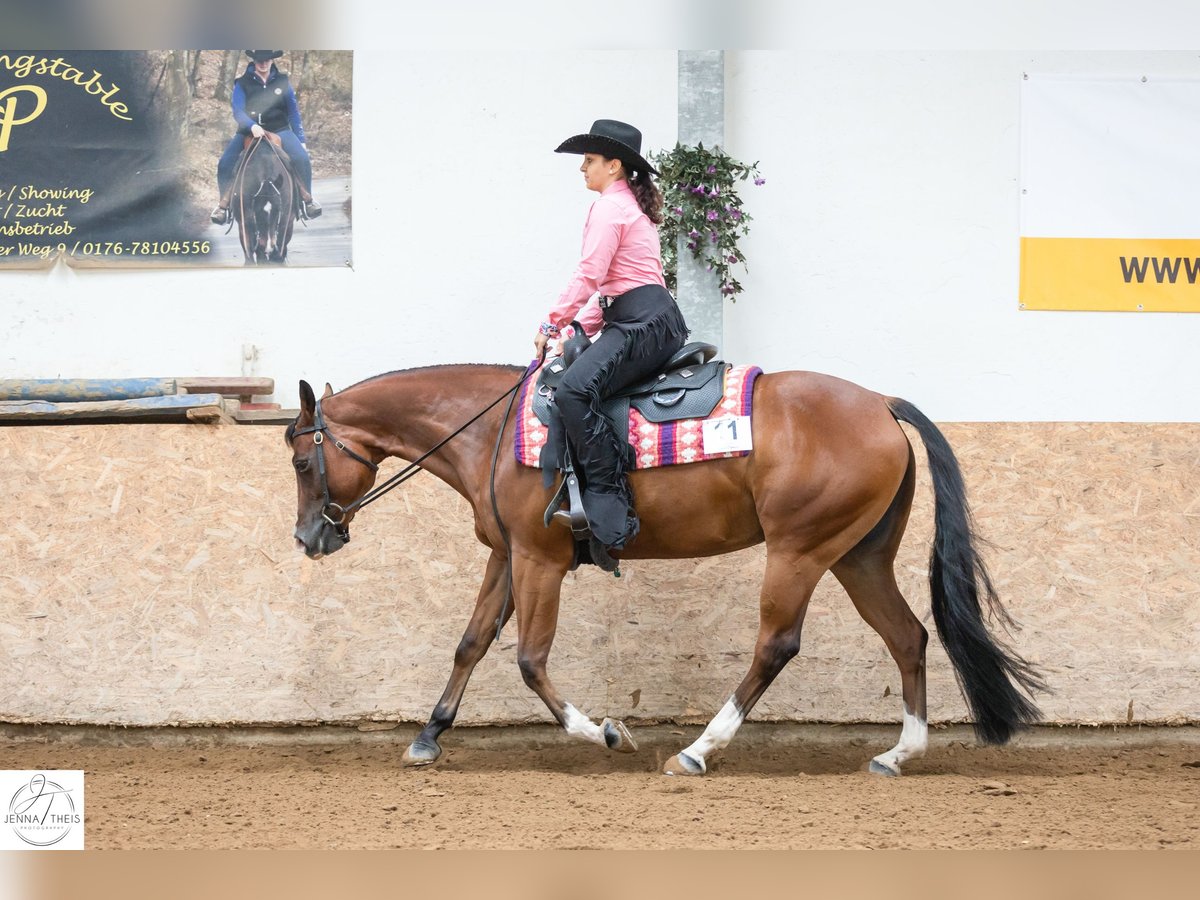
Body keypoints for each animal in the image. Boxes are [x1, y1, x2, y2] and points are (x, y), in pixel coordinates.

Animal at [283, 364, 1041, 777]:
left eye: (298, 460)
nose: (307, 536)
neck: (491, 432)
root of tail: (881, 402)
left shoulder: (539, 561)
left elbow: (529, 660)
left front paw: (606, 733)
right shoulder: (506, 554)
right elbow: (470, 644)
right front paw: (428, 738)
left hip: (800, 552)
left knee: (776, 646)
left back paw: (700, 750)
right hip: (859, 557)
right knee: (909, 638)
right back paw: (898, 753)